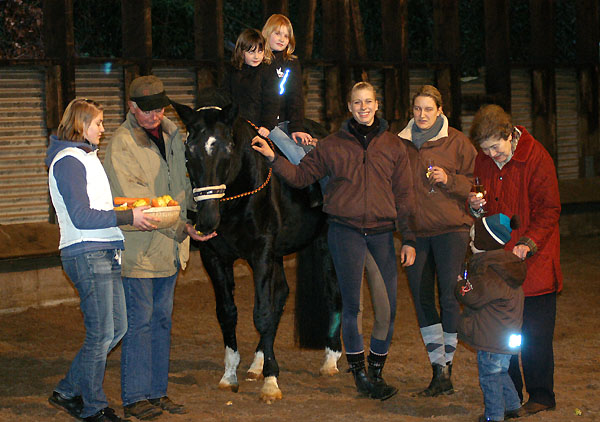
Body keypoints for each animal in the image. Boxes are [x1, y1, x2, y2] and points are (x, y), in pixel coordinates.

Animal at [172, 100, 342, 404]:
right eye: (188, 151)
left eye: (227, 149)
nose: (207, 220)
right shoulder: (215, 258)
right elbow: (227, 313)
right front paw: (230, 375)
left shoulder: (261, 252)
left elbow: (261, 312)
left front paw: (271, 382)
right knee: (282, 294)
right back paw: (258, 361)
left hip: (324, 243)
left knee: (333, 290)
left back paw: (331, 359)